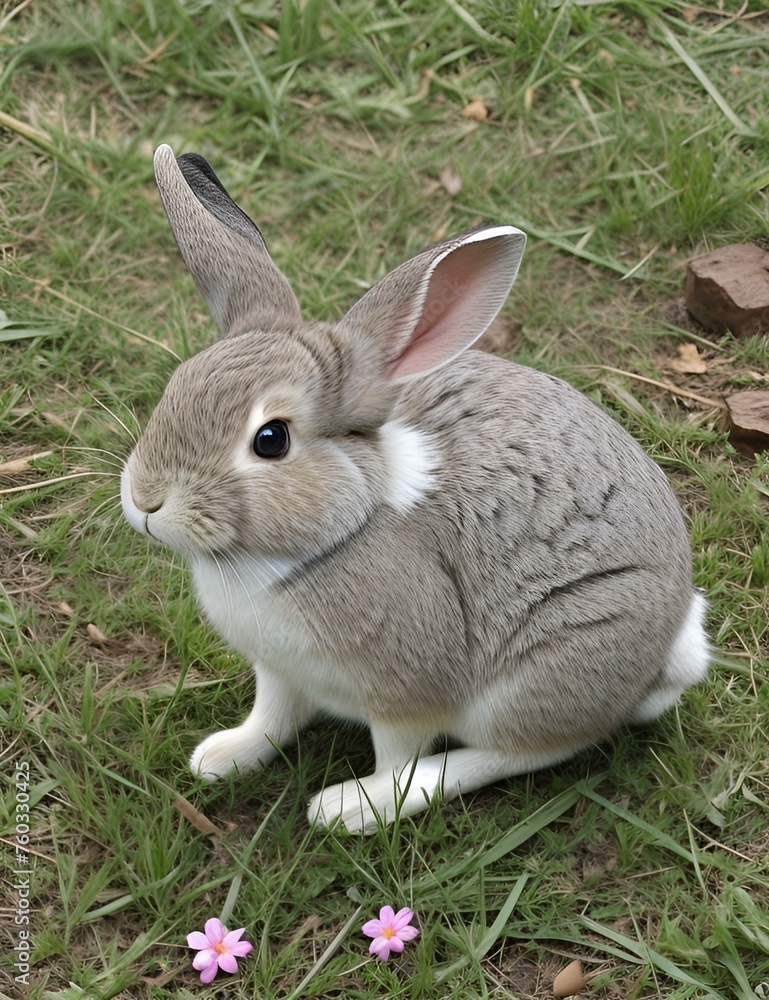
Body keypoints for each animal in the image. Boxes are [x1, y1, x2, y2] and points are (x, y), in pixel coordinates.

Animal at [121, 143, 710, 834]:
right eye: (176, 383)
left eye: (270, 439)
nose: (146, 502)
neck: (337, 530)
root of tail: (666, 649)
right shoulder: (279, 671)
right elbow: (272, 717)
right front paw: (221, 758)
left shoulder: (403, 696)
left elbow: (396, 759)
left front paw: (352, 807)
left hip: (548, 668)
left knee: (528, 750)